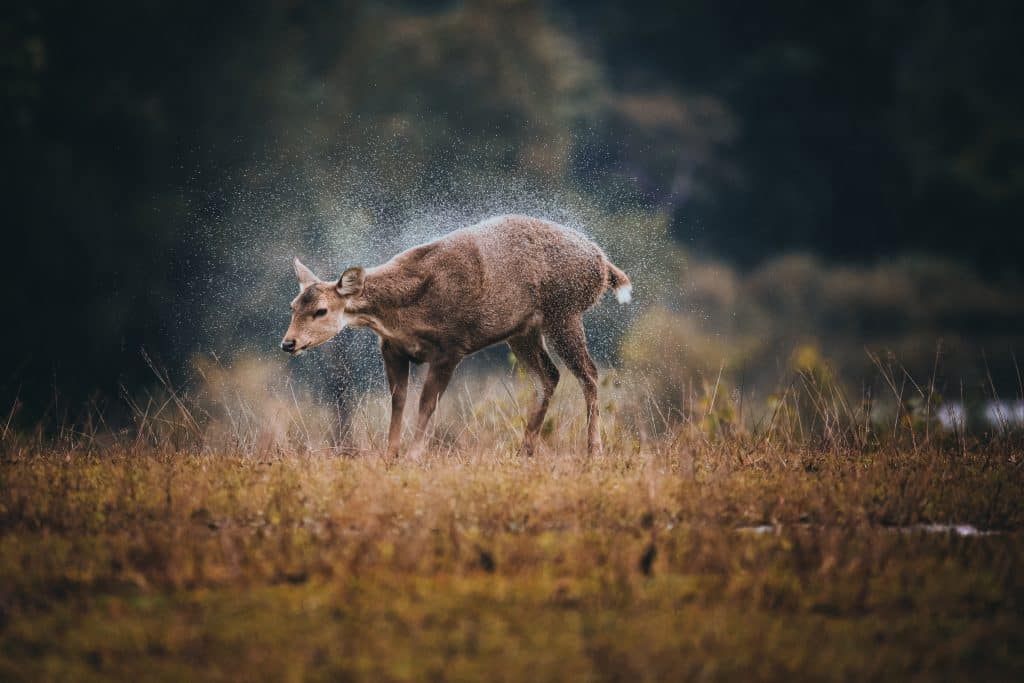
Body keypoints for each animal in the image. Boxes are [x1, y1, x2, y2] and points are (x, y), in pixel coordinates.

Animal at [282, 214, 630, 458]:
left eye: (321, 310)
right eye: (293, 305)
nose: (288, 343)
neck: (400, 314)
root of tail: (603, 265)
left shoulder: (451, 347)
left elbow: (426, 404)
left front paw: (413, 456)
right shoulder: (392, 348)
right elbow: (398, 401)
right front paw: (390, 456)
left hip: (564, 312)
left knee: (589, 374)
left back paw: (593, 452)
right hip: (523, 330)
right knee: (549, 376)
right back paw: (524, 452)